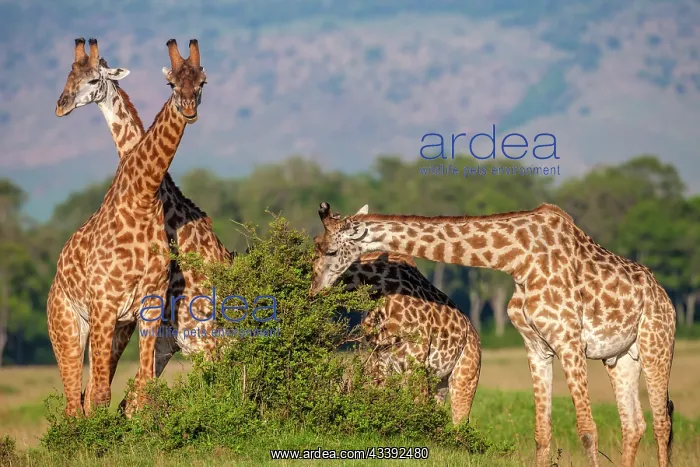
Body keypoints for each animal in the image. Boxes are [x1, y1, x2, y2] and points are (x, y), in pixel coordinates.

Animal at [309, 205, 481, 424]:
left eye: (331, 251)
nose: (313, 290)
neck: (379, 289)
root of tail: (474, 335)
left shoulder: (415, 361)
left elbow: (417, 410)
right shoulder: (379, 360)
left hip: (465, 376)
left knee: (460, 423)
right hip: (439, 381)